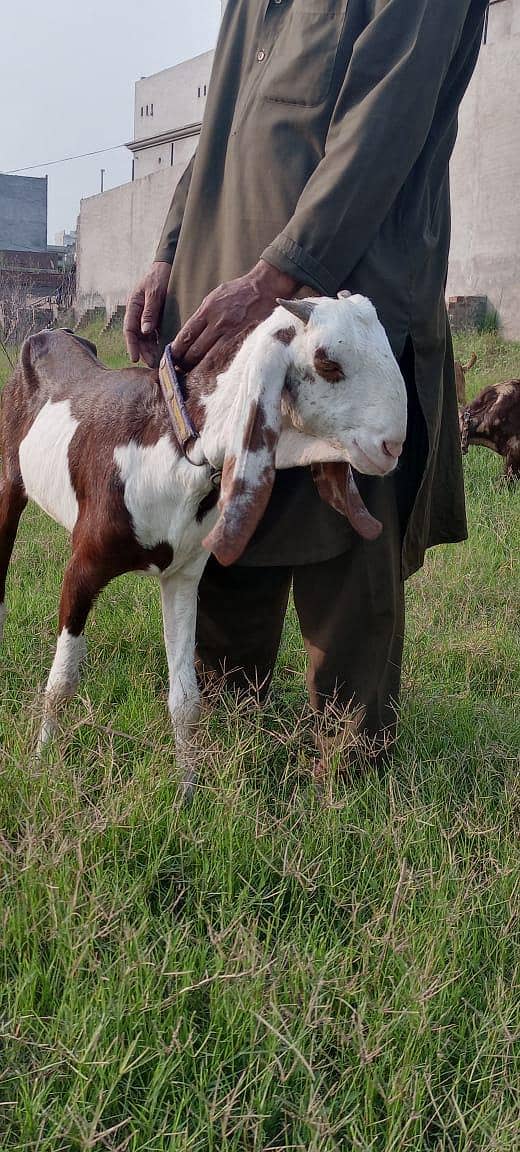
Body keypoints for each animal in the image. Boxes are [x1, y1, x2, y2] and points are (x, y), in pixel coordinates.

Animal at [0, 294, 407, 789]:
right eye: (327, 363)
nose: (392, 446)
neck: (177, 444)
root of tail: (50, 333)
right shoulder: (84, 567)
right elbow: (61, 683)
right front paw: (40, 764)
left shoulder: (182, 575)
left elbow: (185, 700)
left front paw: (187, 786)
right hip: (7, 483)